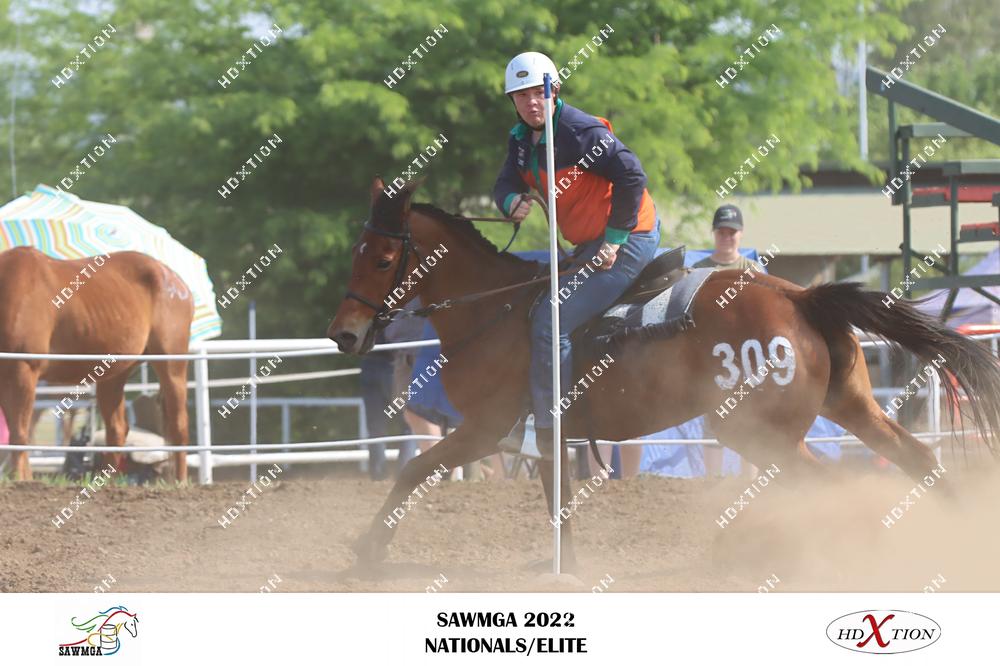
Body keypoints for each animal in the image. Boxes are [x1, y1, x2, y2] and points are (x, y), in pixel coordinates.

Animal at [0, 247, 193, 482]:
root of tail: (175, 281)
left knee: (179, 424)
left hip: (172, 364)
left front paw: (20, 478)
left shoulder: (23, 369)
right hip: (113, 374)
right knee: (117, 429)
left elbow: (20, 432)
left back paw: (180, 481)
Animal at [327, 177, 1000, 572]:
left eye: (383, 257)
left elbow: (413, 469)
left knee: (827, 483)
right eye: (355, 252)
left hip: (754, 431)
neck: (498, 308)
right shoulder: (544, 433)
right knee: (917, 458)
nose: (343, 333)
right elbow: (555, 496)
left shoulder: (487, 428)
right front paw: (563, 565)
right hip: (848, 406)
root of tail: (801, 297)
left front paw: (368, 549)